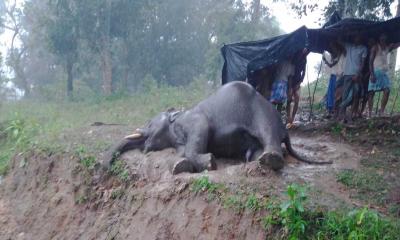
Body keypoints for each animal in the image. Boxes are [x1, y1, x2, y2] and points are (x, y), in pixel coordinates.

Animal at [101, 81, 332, 174]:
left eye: (149, 123)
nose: (103, 169)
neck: (178, 117)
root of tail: (286, 130)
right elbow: (182, 151)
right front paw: (180, 166)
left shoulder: (195, 120)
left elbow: (201, 132)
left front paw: (210, 162)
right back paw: (255, 160)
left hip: (265, 115)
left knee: (268, 134)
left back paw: (270, 160)